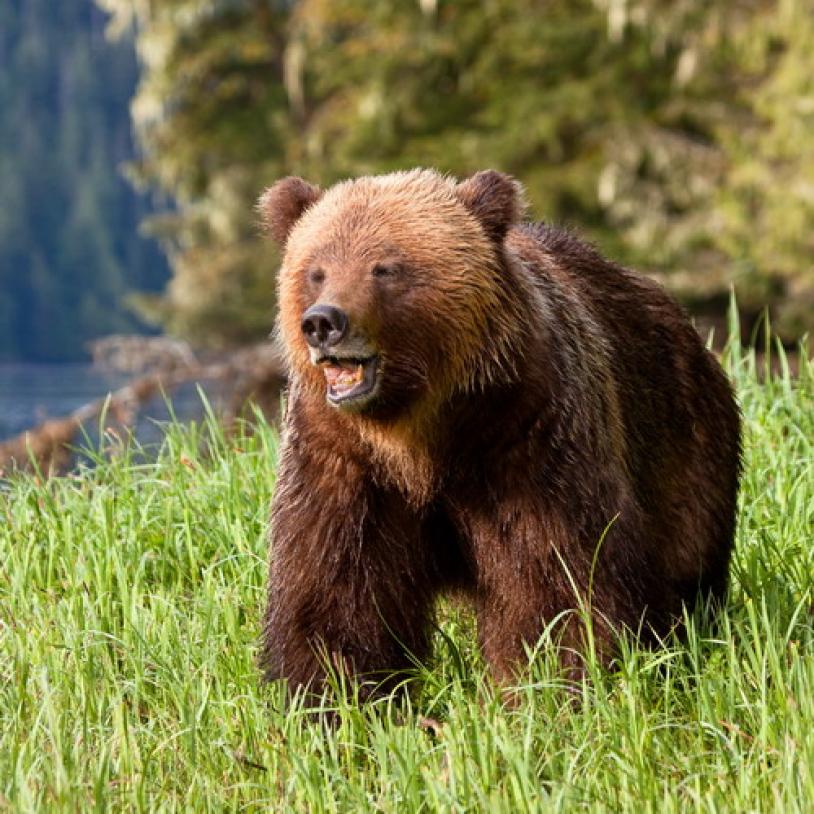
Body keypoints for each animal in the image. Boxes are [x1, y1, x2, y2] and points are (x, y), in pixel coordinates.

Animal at [258, 168, 741, 696]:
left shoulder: (527, 437)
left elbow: (556, 578)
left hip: (681, 443)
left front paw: (548, 683)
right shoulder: (341, 458)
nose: (323, 322)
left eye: (385, 268)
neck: (415, 438)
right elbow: (334, 588)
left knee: (686, 560)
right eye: (316, 270)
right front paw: (329, 694)